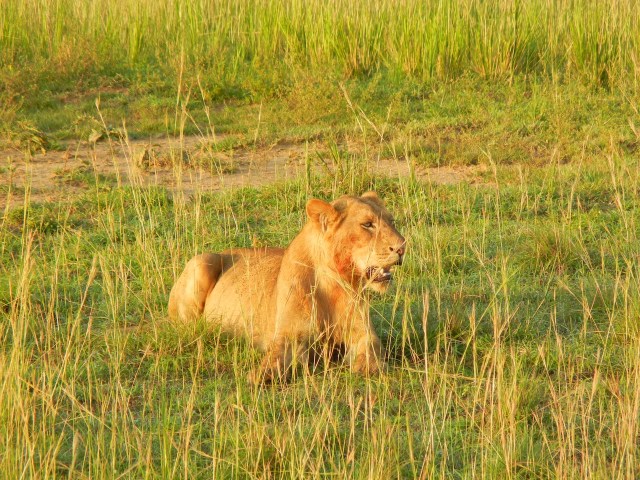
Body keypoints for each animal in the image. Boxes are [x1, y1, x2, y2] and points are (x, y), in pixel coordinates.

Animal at [168, 191, 406, 382]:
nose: (402, 247)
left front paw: (367, 368)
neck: (333, 284)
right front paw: (259, 376)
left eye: (391, 221)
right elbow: (275, 357)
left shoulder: (362, 332)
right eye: (367, 224)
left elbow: (371, 348)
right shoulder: (287, 335)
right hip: (202, 261)